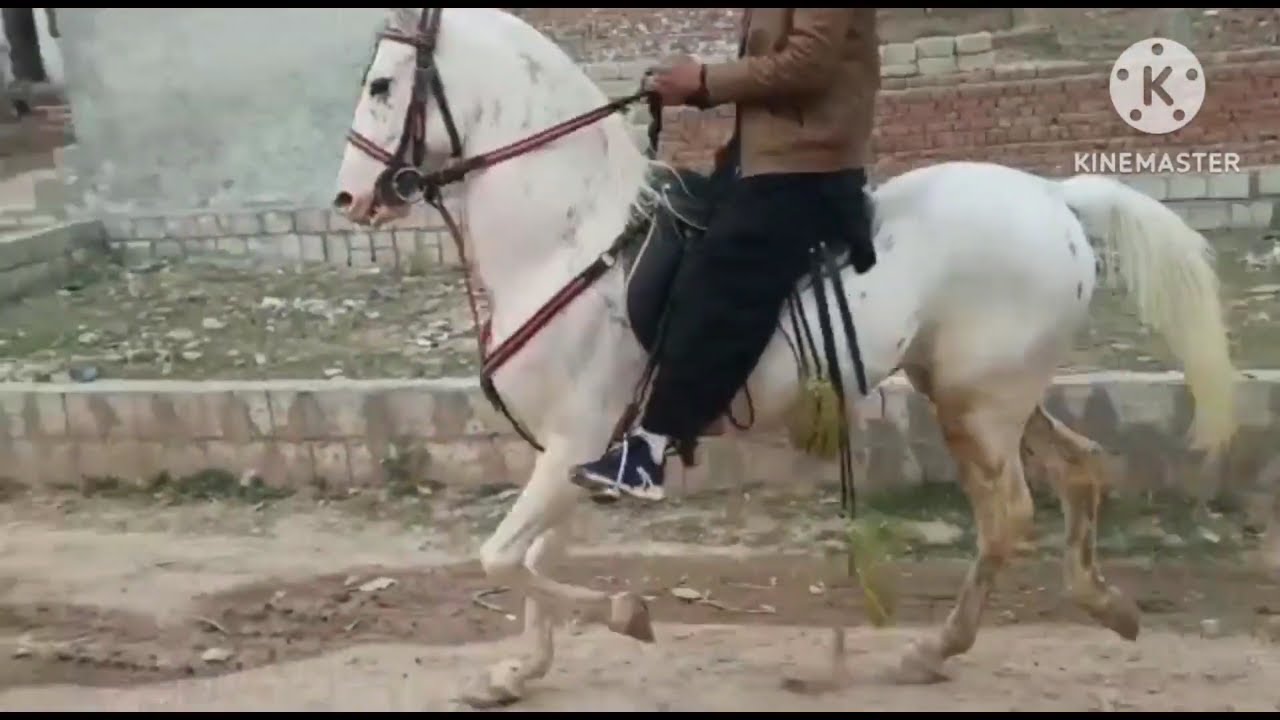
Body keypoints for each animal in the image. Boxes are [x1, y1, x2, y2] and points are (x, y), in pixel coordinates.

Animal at [332, 7, 1240, 707]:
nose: (348, 201)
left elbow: (504, 557)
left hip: (977, 411)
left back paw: (932, 650)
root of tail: (1051, 196)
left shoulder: (575, 445)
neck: (569, 237)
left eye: (381, 85)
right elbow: (530, 560)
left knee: (1007, 517)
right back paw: (1105, 605)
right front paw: (519, 672)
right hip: (987, 394)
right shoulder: (571, 453)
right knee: (1080, 469)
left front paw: (627, 614)